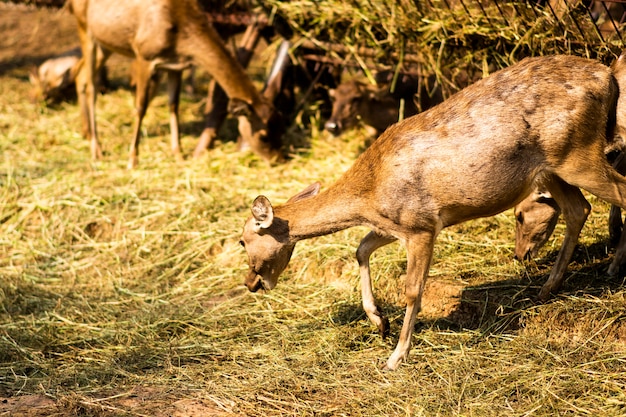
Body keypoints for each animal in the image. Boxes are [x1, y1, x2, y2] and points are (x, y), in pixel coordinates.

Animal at [69, 0, 282, 169]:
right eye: (263, 135)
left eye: (279, 124)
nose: (276, 158)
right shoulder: (144, 55)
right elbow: (140, 107)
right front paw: (132, 160)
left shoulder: (176, 66)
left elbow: (174, 106)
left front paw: (178, 155)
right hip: (84, 28)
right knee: (91, 85)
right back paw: (96, 149)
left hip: (106, 44)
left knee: (79, 74)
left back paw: (86, 133)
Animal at [238, 53, 626, 368]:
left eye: (242, 241)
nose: (251, 283)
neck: (368, 193)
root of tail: (608, 76)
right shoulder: (396, 224)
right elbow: (360, 249)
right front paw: (380, 322)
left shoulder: (421, 225)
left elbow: (413, 289)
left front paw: (396, 356)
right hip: (552, 169)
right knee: (579, 208)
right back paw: (549, 286)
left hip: (578, 155)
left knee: (617, 192)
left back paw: (612, 269)